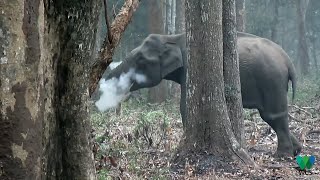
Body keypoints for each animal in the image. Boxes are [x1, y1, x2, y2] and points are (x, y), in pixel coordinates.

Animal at [104, 32, 302, 158]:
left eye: (140, 60)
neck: (172, 37)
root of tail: (288, 61)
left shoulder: (190, 69)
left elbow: (185, 106)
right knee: (272, 116)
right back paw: (297, 150)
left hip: (272, 81)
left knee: (272, 115)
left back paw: (282, 156)